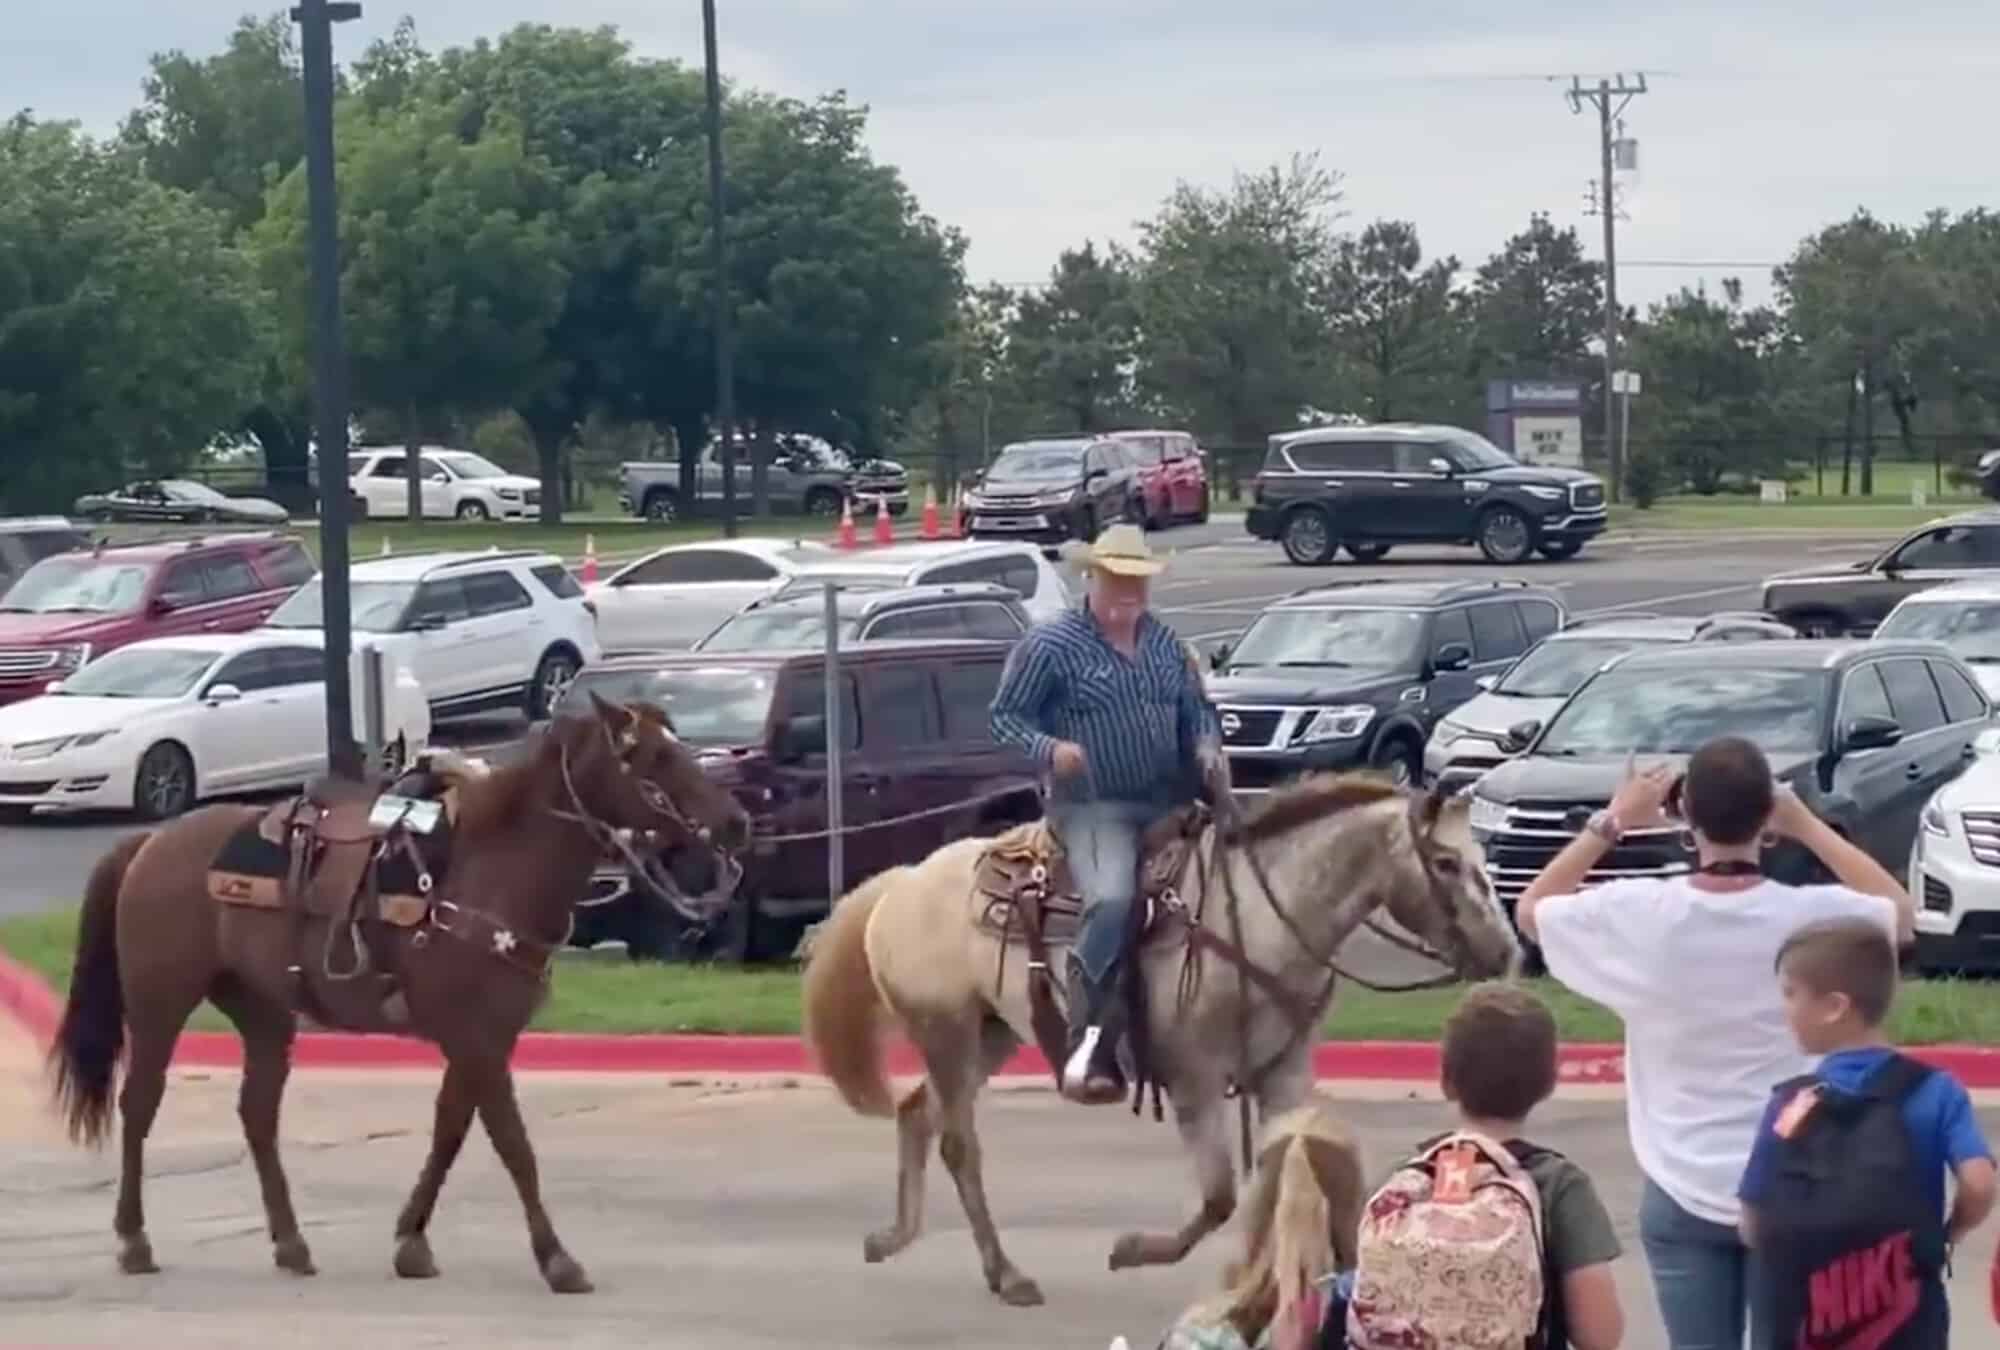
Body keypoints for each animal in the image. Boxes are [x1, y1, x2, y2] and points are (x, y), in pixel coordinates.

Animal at [45, 696, 752, 1296]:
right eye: (651, 758)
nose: (737, 821)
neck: (490, 874)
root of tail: (150, 842)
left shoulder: (482, 1039)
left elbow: (449, 1133)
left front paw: (411, 1242)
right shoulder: (477, 1040)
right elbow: (513, 1146)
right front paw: (557, 1259)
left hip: (264, 1010)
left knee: (257, 1115)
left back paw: (291, 1245)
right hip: (160, 1001)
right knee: (140, 1105)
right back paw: (134, 1240)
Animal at [796, 772, 1512, 1312]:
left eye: (1480, 860)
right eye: (1446, 863)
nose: (1505, 951)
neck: (1260, 916)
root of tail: (903, 881)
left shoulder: (1283, 1072)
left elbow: (1296, 1166)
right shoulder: (1195, 1079)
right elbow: (1220, 1197)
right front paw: (1133, 1251)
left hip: (988, 1034)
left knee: (917, 1113)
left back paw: (894, 1238)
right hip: (945, 1031)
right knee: (957, 1144)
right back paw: (1007, 1274)